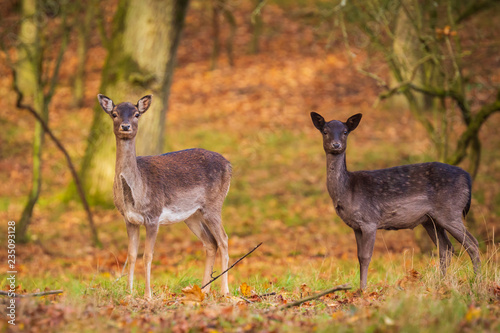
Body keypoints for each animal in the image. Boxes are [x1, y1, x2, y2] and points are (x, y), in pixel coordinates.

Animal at [99, 94, 232, 298]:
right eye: (114, 113)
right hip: (192, 215)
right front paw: (129, 293)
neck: (136, 193)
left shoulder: (153, 215)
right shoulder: (129, 219)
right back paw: (203, 291)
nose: (126, 126)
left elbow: (147, 256)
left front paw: (147, 295)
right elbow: (131, 255)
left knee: (223, 240)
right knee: (211, 243)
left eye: (136, 114)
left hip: (214, 205)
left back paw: (225, 291)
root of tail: (229, 165)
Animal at [310, 111, 478, 288]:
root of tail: (467, 178)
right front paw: (360, 288)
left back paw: (476, 280)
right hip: (430, 220)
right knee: (446, 249)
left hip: (450, 211)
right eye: (325, 131)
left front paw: (363, 289)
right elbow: (358, 256)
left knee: (472, 244)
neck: (347, 190)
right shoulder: (356, 226)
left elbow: (365, 257)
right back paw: (442, 282)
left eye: (345, 132)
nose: (336, 145)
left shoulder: (369, 220)